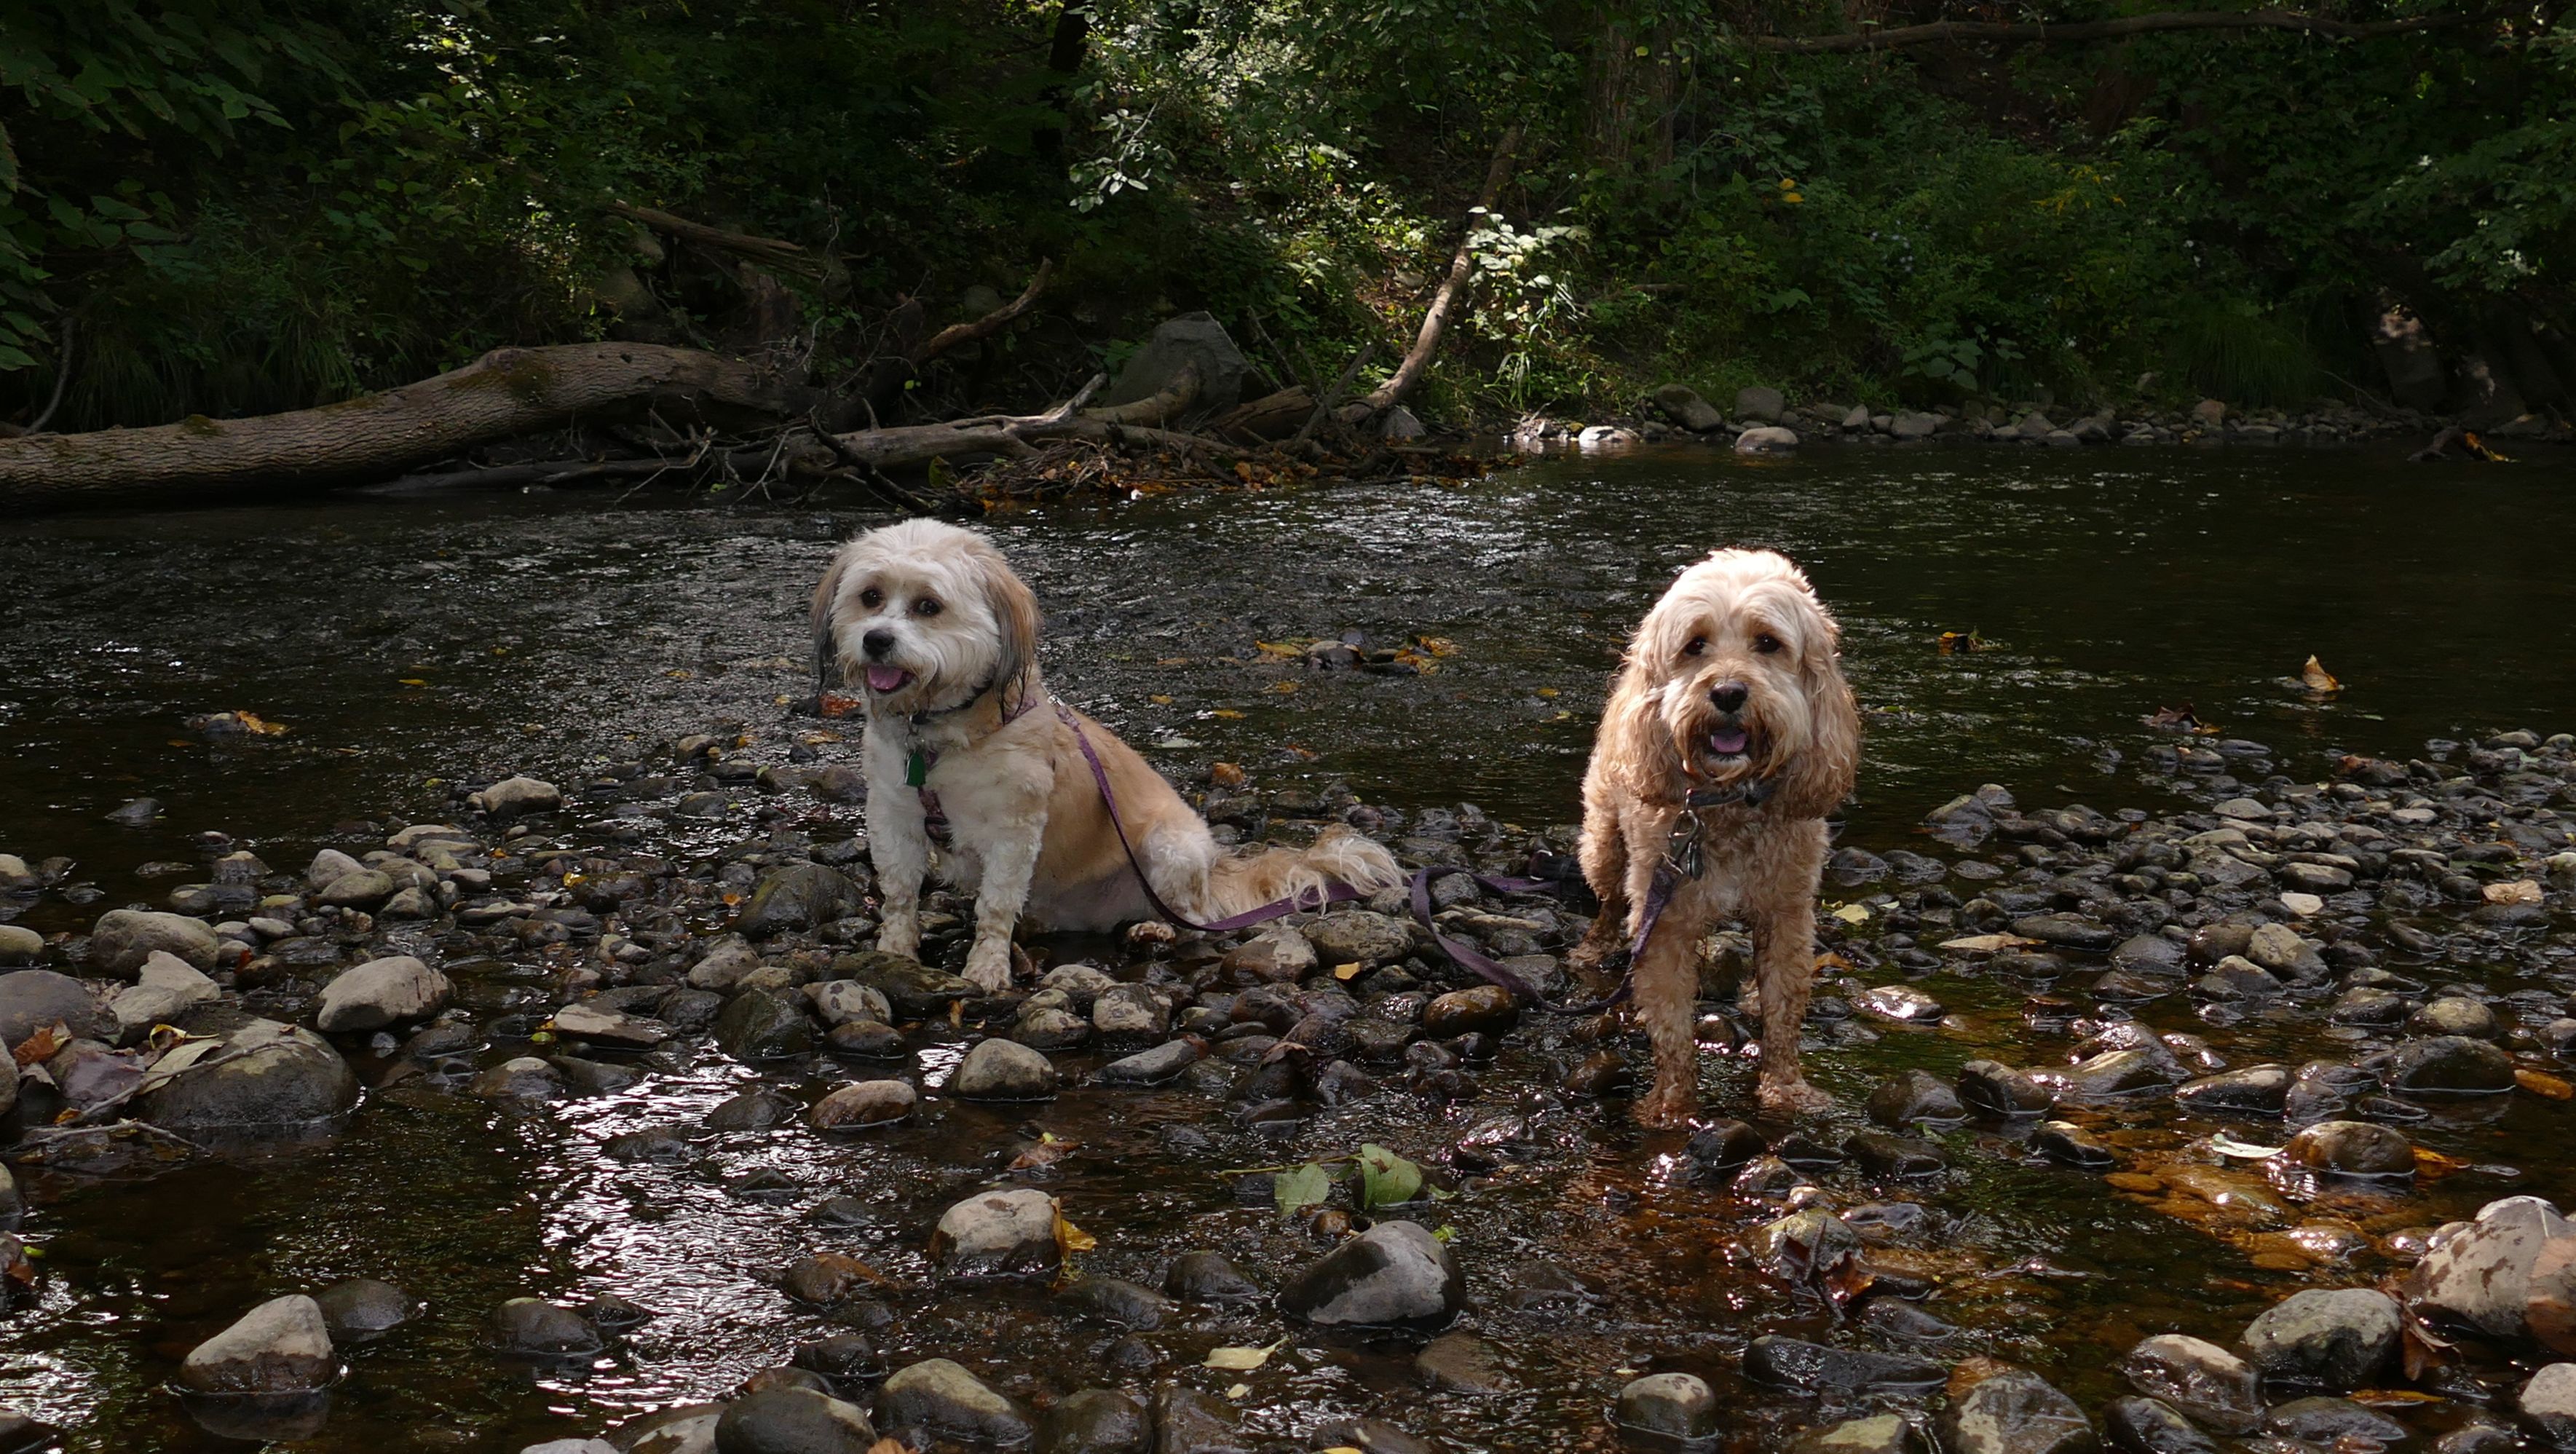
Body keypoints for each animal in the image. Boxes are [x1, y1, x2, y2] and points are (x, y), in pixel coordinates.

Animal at [811, 519, 1401, 990]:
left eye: (929, 606)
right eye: (870, 596)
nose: (877, 640)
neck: (938, 735)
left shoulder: (1013, 829)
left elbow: (995, 905)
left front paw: (985, 968)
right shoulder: (894, 814)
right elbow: (899, 893)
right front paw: (895, 953)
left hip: (1171, 848)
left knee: (1190, 913)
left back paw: (1156, 926)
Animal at [1566, 548, 1859, 1124]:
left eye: (1768, 642)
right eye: (1694, 645)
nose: (1726, 692)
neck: (1725, 803)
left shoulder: (1787, 912)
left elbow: (1785, 1011)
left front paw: (1785, 1087)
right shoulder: (1666, 920)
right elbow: (1672, 1026)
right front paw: (1673, 1105)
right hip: (1605, 842)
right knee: (1608, 899)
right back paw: (1594, 948)